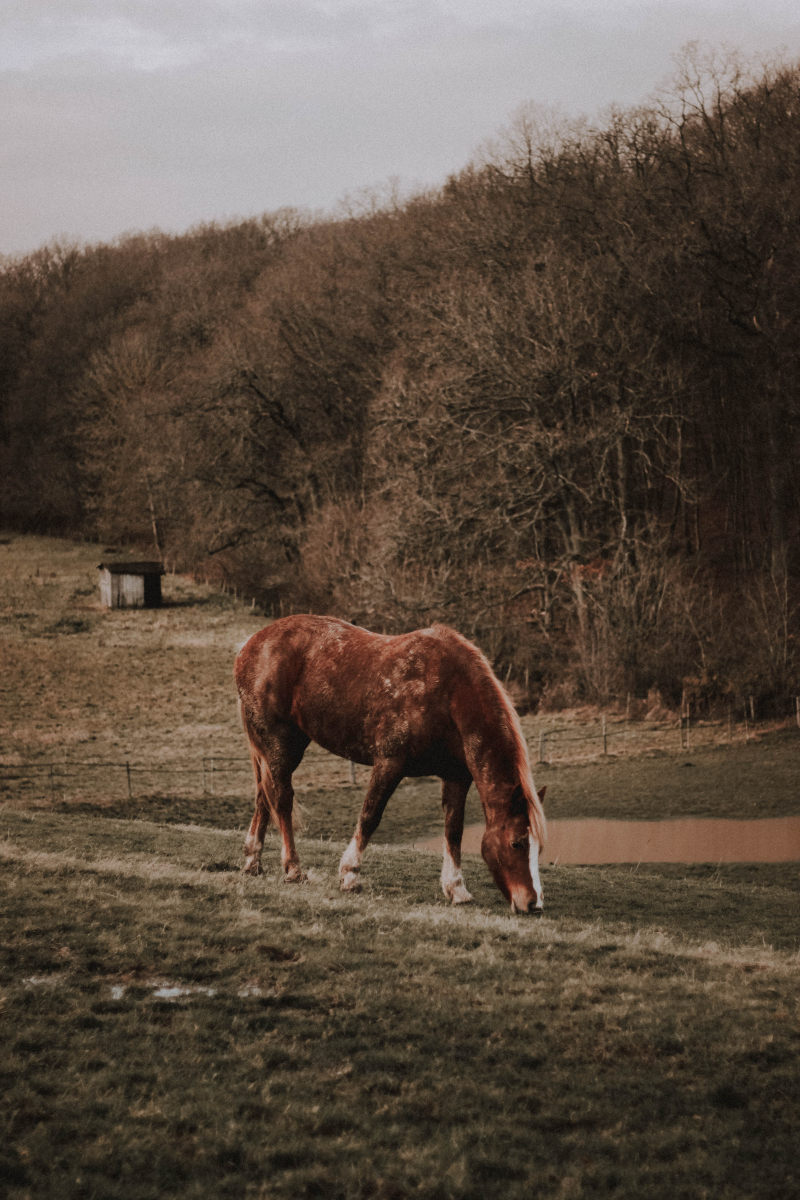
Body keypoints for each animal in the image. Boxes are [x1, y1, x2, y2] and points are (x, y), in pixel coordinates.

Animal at [231, 614, 544, 912]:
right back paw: (293, 869)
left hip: (277, 747)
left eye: (537, 849)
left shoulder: (456, 776)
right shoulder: (389, 764)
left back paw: (252, 861)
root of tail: (249, 646)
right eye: (516, 843)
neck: (448, 693)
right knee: (281, 799)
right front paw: (350, 874)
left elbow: (453, 830)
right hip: (280, 743)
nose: (533, 904)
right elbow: (370, 816)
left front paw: (457, 889)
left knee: (264, 796)